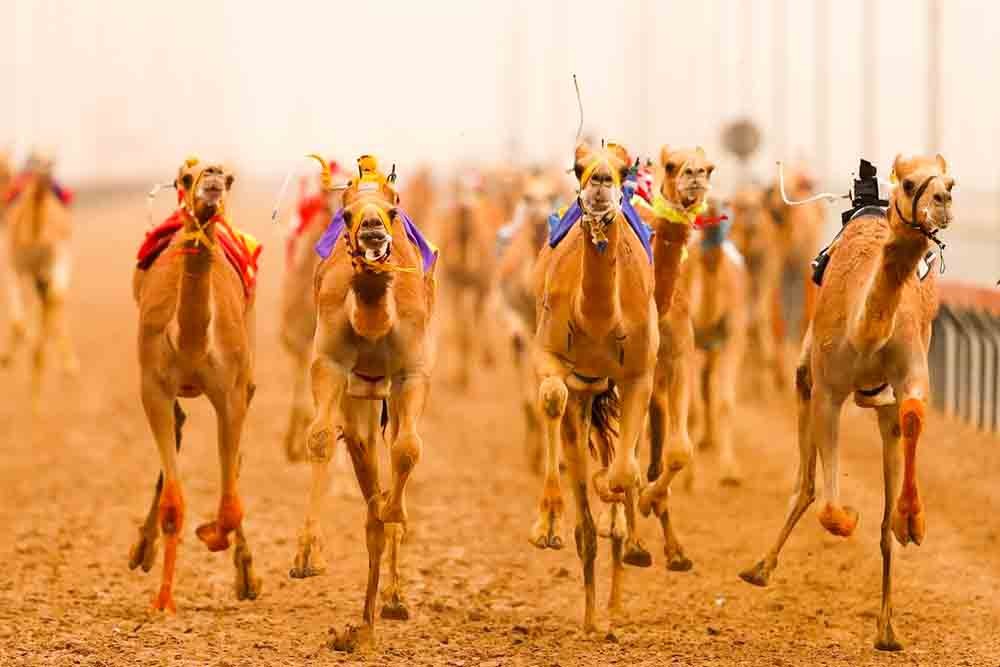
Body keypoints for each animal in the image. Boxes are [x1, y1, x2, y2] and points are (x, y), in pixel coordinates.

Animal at [1, 152, 79, 410]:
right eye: (33, 158)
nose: (45, 170)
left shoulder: (27, 267)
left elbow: (26, 318)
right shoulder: (26, 269)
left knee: (50, 305)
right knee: (51, 304)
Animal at [129, 157, 262, 612]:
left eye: (230, 179)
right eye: (185, 178)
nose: (213, 179)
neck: (189, 341)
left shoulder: (231, 391)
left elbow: (232, 501)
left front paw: (214, 537)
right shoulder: (153, 386)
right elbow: (174, 502)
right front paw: (163, 601)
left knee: (235, 463)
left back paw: (247, 576)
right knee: (180, 424)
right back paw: (141, 551)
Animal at [290, 155, 436, 651]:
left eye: (393, 209)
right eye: (347, 213)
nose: (373, 229)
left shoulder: (412, 371)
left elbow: (409, 450)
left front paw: (397, 511)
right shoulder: (329, 361)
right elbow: (319, 437)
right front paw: (306, 556)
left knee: (391, 458)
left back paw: (391, 600)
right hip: (361, 399)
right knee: (361, 456)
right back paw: (365, 622)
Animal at [531, 142, 658, 632]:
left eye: (624, 168)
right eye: (578, 166)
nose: (602, 181)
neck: (601, 320)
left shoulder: (640, 372)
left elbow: (624, 472)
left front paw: (617, 508)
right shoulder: (549, 353)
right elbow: (551, 396)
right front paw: (546, 526)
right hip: (585, 390)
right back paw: (590, 616)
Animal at [740, 154, 955, 651]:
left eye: (950, 182)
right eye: (909, 182)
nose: (942, 201)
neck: (866, 330)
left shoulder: (909, 374)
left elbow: (913, 414)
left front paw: (911, 522)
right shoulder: (828, 388)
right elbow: (829, 507)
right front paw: (850, 517)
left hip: (877, 406)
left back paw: (887, 629)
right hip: (808, 377)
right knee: (805, 484)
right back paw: (759, 569)